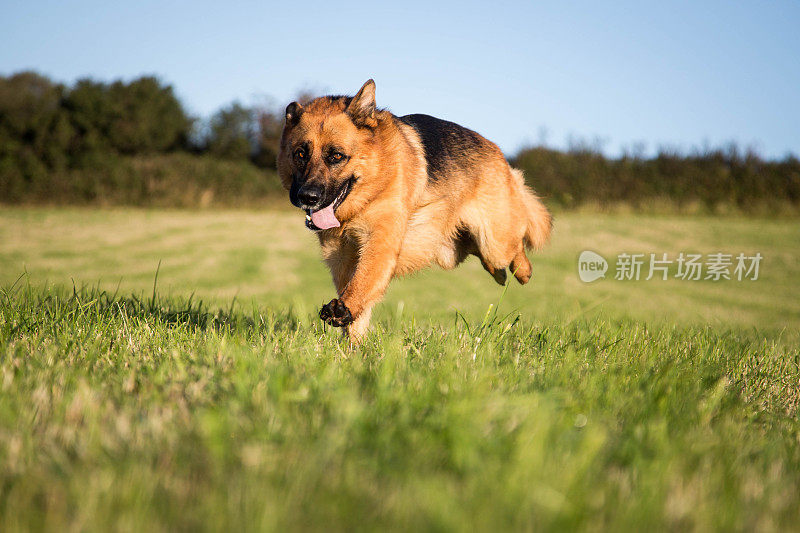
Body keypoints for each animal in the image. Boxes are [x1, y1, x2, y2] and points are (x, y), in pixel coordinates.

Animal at [276, 80, 552, 340]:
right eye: (300, 154)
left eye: (336, 156)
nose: (307, 197)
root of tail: (499, 154)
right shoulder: (341, 258)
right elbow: (358, 305)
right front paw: (353, 345)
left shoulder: (380, 243)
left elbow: (363, 282)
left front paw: (344, 310)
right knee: (493, 262)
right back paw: (501, 275)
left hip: (495, 242)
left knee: (516, 246)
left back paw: (523, 271)